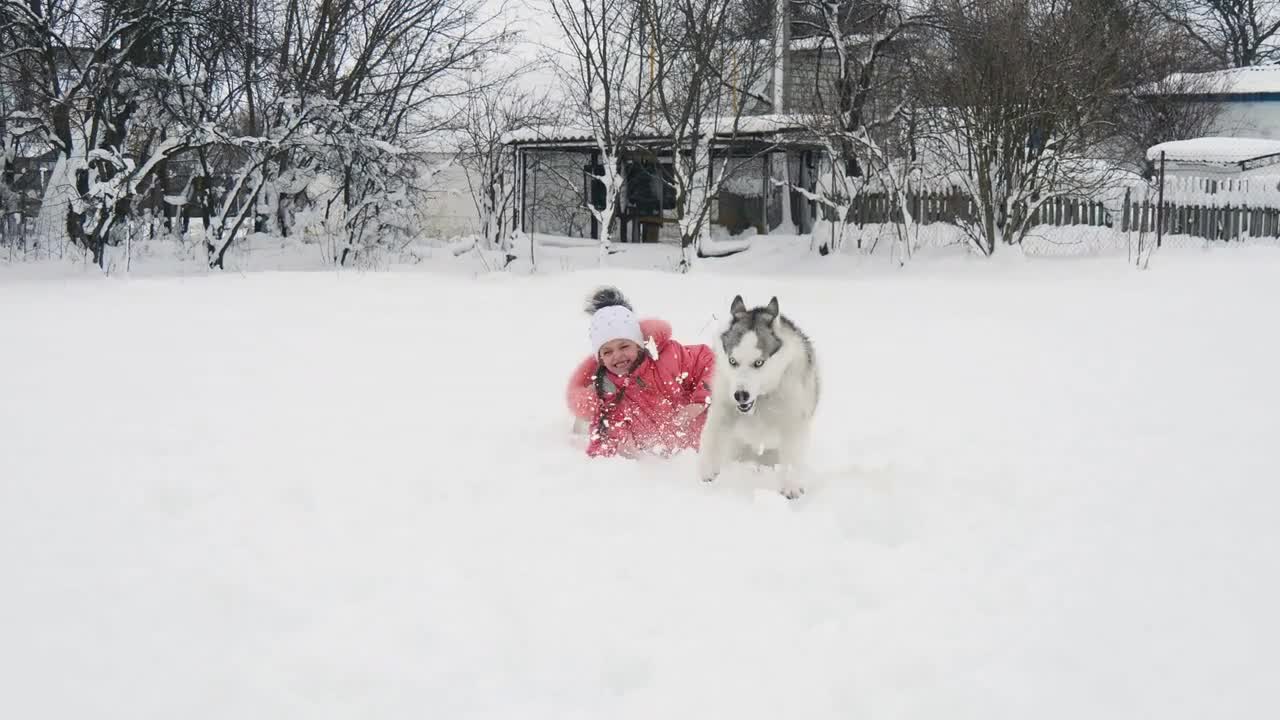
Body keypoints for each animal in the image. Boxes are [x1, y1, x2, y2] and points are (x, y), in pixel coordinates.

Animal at [701, 294, 819, 497]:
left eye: (758, 363)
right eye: (733, 361)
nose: (740, 395)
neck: (761, 400)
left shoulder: (793, 418)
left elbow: (792, 454)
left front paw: (791, 486)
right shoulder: (724, 405)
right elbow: (713, 434)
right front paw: (708, 470)